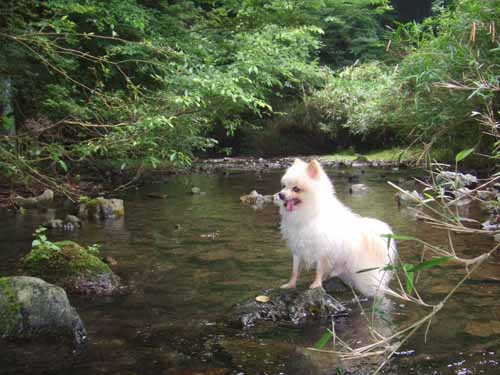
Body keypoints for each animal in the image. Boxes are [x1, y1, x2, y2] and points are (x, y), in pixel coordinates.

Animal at [276, 158, 396, 296]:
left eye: (296, 189)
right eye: (284, 186)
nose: (280, 194)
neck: (308, 213)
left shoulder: (322, 249)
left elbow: (319, 269)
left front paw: (316, 284)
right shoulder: (297, 248)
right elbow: (295, 270)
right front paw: (291, 284)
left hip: (363, 275)